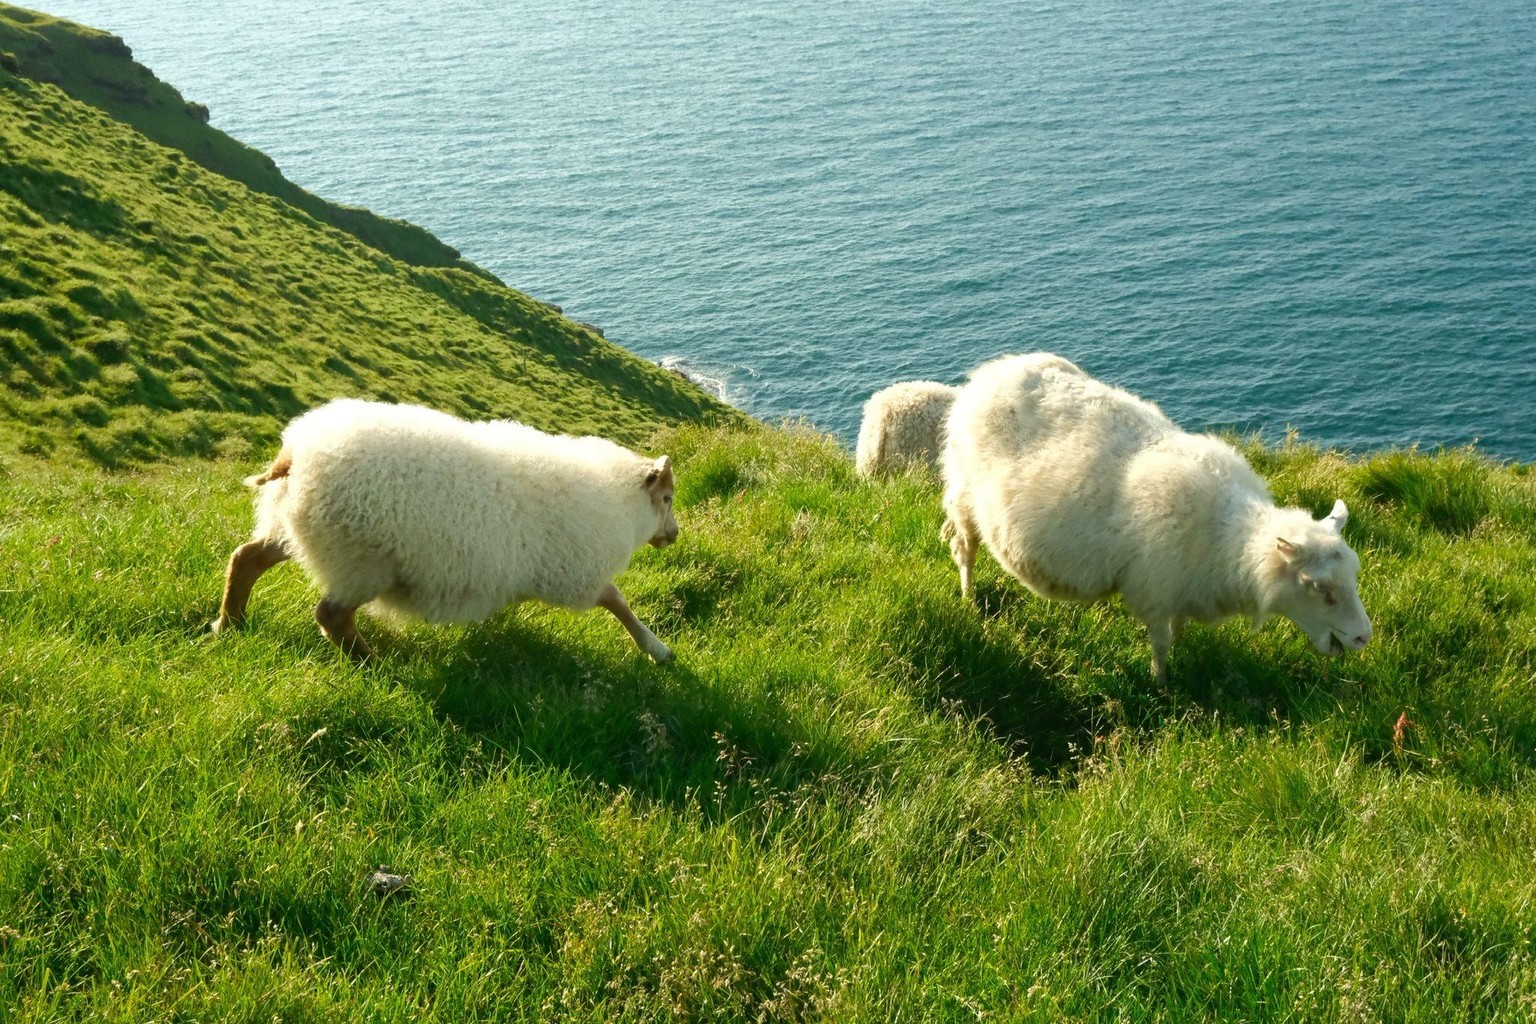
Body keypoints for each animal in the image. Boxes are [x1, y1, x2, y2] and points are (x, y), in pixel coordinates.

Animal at [210, 399, 679, 664]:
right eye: (668, 498)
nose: (674, 535)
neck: (620, 502)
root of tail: (296, 453)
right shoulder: (576, 575)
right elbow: (617, 601)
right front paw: (656, 650)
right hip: (360, 559)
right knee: (331, 616)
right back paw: (372, 664)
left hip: (296, 529)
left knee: (245, 557)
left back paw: (229, 623)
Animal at [941, 353, 1373, 680]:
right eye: (1317, 587)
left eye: (1353, 575)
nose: (1363, 639)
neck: (1229, 537)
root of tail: (989, 373)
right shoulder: (1154, 590)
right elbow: (1161, 644)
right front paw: (1161, 683)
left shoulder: (1183, 588)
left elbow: (1179, 632)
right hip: (964, 496)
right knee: (965, 549)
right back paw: (968, 597)